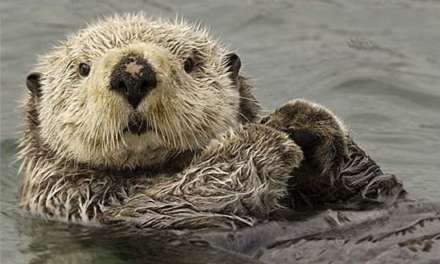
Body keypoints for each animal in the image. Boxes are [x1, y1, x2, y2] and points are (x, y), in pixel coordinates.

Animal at [20, 13, 374, 229]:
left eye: (190, 63)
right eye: (82, 68)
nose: (133, 75)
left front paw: (306, 122)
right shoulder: (78, 201)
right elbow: (175, 198)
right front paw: (264, 140)